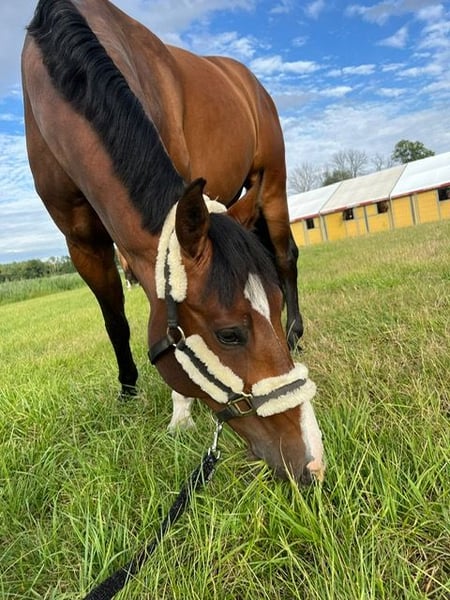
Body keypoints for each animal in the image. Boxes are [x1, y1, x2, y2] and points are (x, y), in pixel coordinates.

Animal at [22, 0, 323, 484]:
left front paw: (180, 412)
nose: (312, 459)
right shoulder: (81, 240)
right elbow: (115, 319)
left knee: (284, 256)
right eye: (230, 334)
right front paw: (128, 391)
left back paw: (296, 334)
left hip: (272, 185)